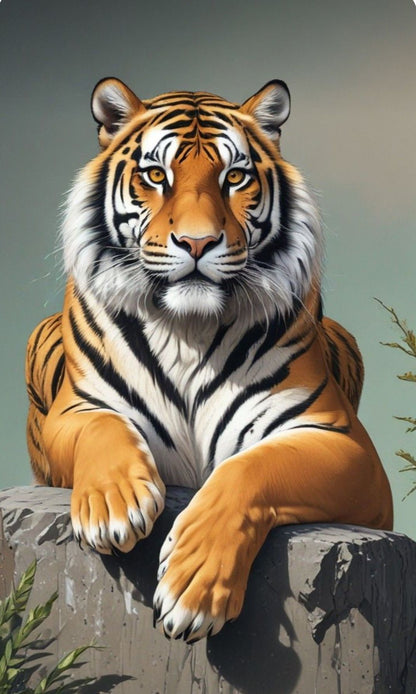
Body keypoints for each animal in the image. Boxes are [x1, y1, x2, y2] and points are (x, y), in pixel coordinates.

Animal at [25, 77, 393, 644]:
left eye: (234, 177)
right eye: (156, 175)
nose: (197, 242)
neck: (188, 330)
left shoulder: (345, 445)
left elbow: (252, 467)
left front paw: (193, 587)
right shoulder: (74, 411)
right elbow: (104, 427)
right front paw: (114, 506)